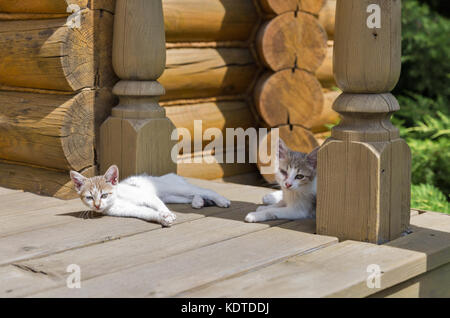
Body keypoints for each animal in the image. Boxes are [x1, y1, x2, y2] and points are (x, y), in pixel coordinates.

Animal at [71, 165, 232, 227]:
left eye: (104, 195)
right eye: (89, 198)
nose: (97, 205)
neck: (118, 199)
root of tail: (171, 175)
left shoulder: (146, 196)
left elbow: (158, 205)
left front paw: (167, 213)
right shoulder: (128, 209)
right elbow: (147, 212)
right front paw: (162, 218)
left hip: (175, 188)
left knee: (205, 190)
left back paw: (221, 200)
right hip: (172, 196)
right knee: (194, 194)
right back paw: (199, 202)